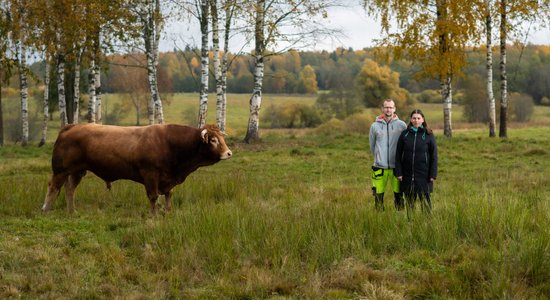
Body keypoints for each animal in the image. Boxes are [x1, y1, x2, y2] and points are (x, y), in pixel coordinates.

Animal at [42, 123, 233, 213]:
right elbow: (153, 197)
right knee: (53, 187)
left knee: (69, 189)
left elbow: (169, 195)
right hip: (61, 170)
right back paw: (46, 209)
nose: (229, 153)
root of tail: (72, 125)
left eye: (222, 138)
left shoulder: (167, 179)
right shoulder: (150, 175)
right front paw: (153, 216)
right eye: (213, 140)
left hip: (77, 171)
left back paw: (72, 211)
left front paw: (168, 212)